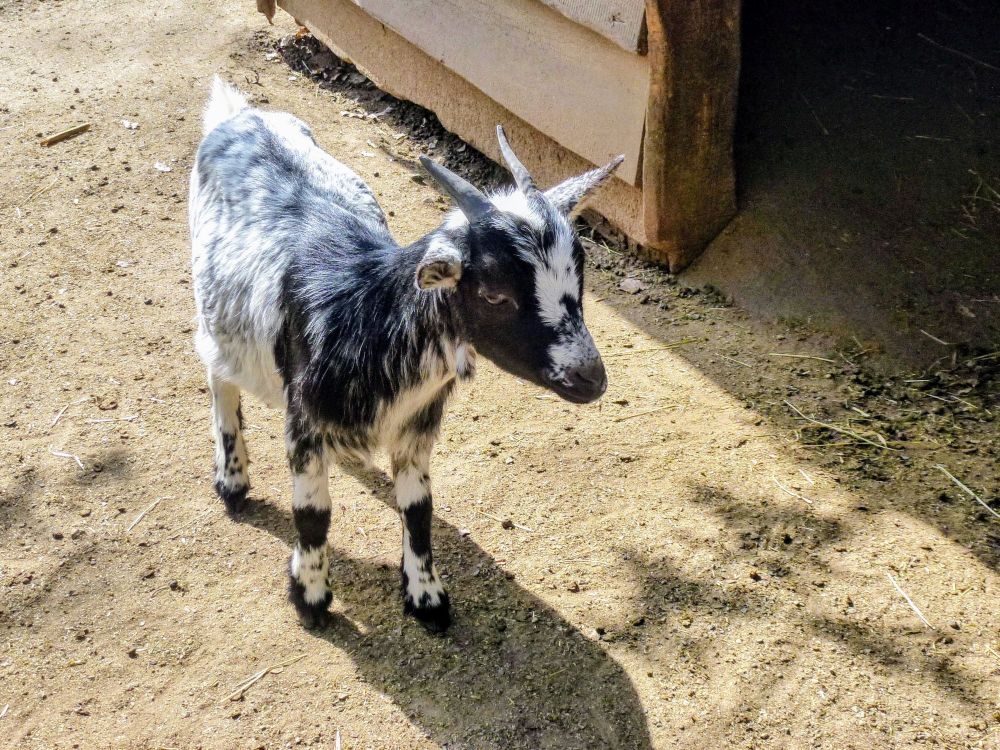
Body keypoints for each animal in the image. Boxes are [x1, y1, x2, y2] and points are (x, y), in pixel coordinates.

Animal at [189, 77, 622, 632]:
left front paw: (426, 597)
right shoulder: (304, 421)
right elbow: (313, 515)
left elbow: (418, 510)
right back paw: (233, 478)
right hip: (212, 308)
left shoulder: (417, 424)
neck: (367, 315)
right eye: (495, 295)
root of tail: (239, 114)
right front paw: (310, 597)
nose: (591, 378)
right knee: (218, 378)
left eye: (580, 279)